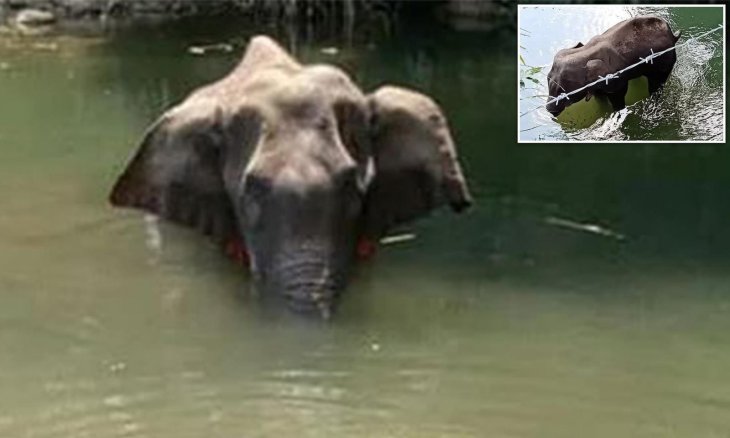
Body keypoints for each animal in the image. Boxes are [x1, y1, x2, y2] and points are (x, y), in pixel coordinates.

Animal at [546, 16, 681, 116]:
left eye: (562, 92)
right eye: (547, 79)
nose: (549, 110)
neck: (585, 52)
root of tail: (673, 35)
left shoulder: (615, 79)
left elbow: (618, 95)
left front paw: (616, 112)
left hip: (664, 61)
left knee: (656, 84)